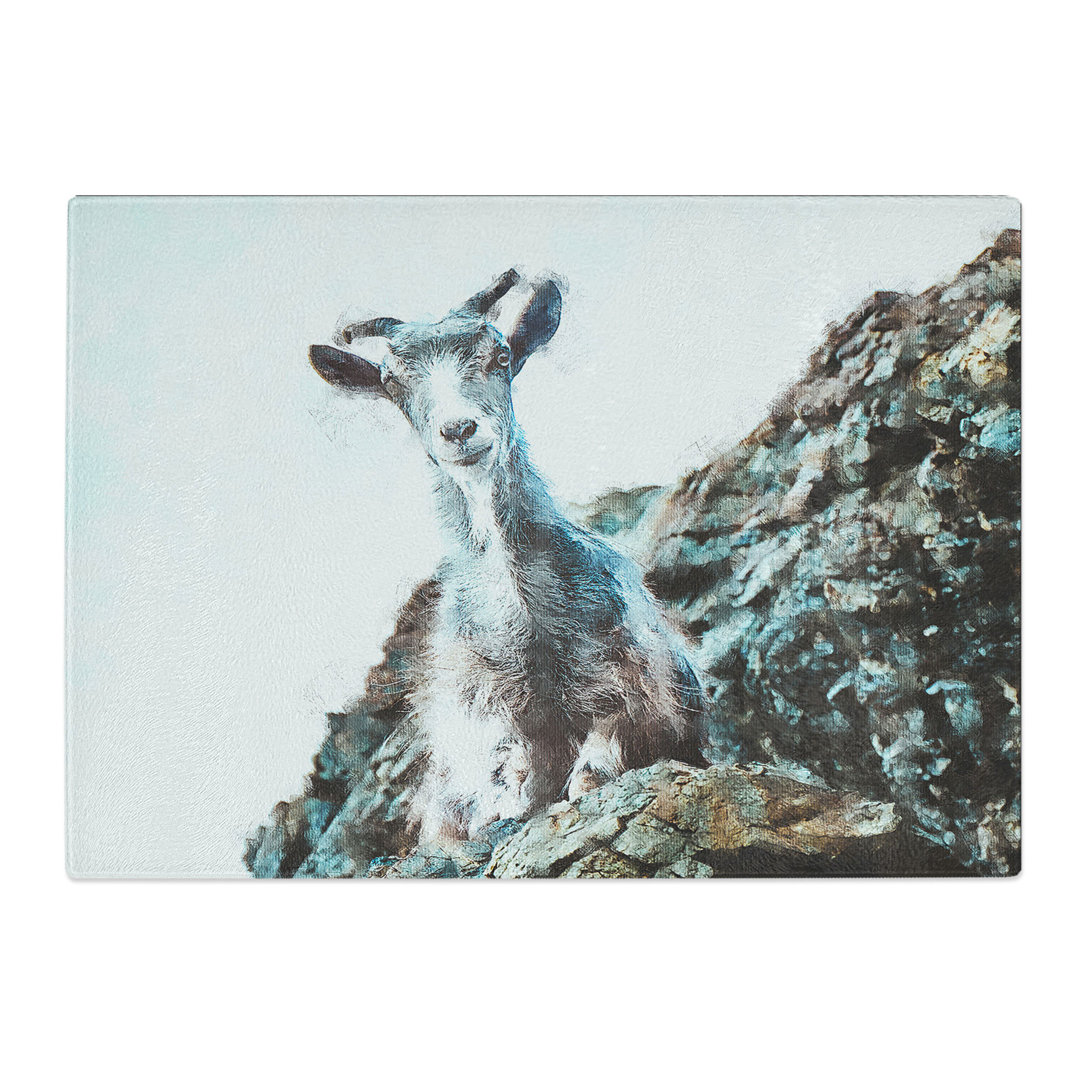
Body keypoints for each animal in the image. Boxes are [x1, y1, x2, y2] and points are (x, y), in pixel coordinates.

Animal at [310, 270, 705, 845]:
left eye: (500, 355)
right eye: (392, 382)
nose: (459, 430)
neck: (528, 617)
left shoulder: (637, 686)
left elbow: (600, 756)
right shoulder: (481, 710)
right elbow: (498, 779)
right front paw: (504, 802)